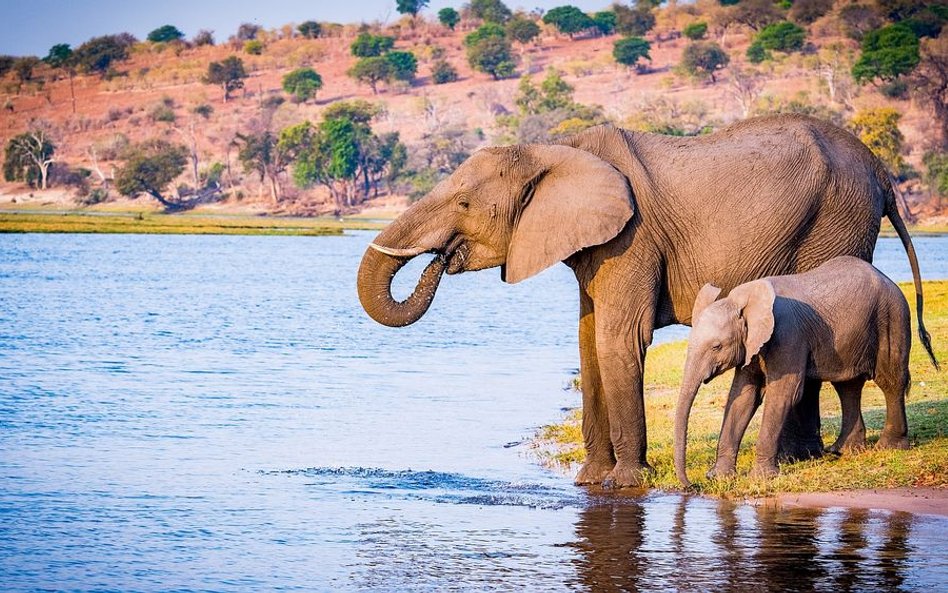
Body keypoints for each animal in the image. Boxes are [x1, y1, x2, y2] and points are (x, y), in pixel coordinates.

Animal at [672, 256, 936, 486]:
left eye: (717, 346)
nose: (692, 485)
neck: (741, 300)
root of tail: (887, 279)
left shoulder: (788, 335)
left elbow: (784, 393)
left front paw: (761, 478)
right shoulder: (752, 345)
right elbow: (743, 396)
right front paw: (719, 478)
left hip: (892, 318)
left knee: (889, 380)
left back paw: (889, 447)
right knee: (848, 386)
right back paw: (843, 450)